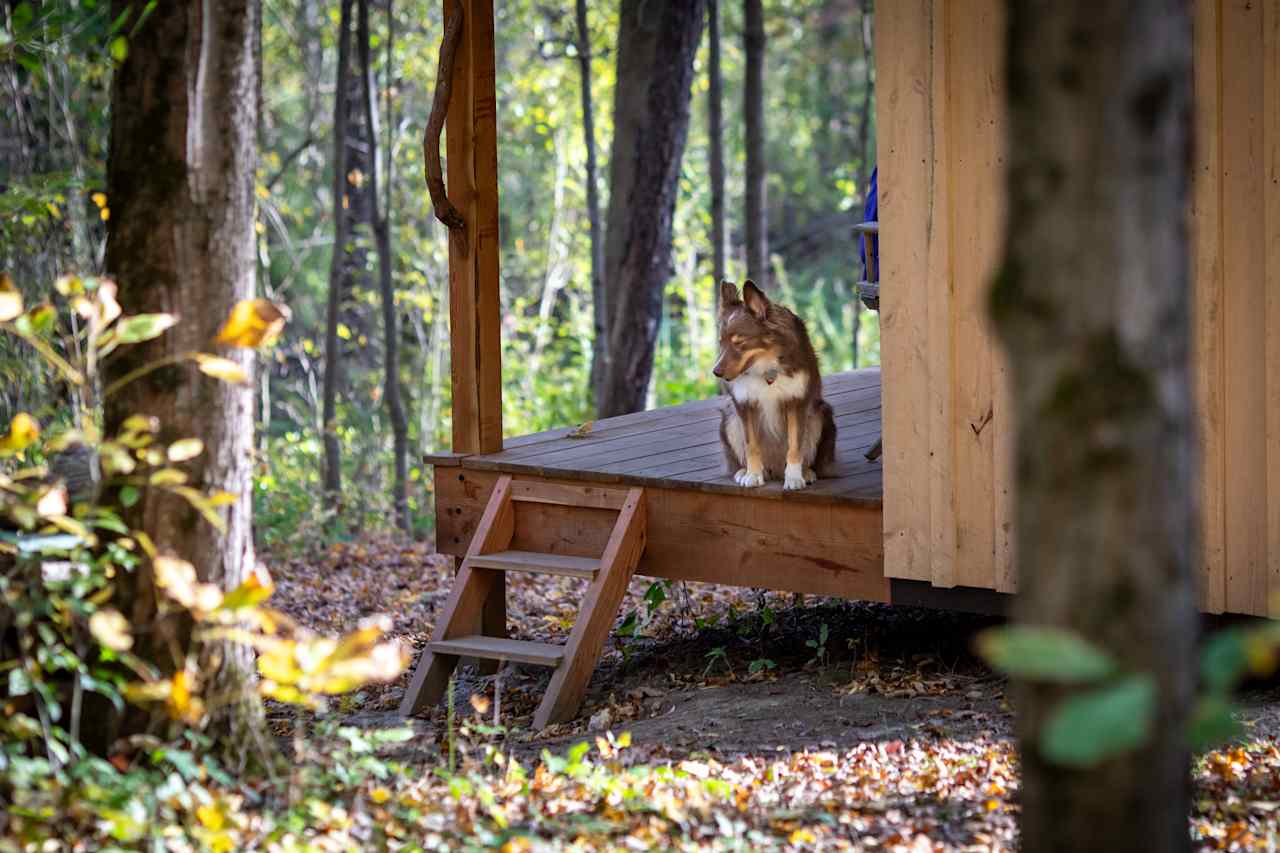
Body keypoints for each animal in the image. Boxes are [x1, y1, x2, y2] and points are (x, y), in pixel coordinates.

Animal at [711, 279, 839, 489]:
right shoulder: (745, 404)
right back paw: (744, 471)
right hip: (730, 418)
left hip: (820, 413)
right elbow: (751, 445)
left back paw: (805, 472)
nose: (716, 372)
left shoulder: (796, 402)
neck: (766, 365)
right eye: (721, 342)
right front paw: (753, 475)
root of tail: (775, 471)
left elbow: (795, 445)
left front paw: (794, 478)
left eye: (739, 342)